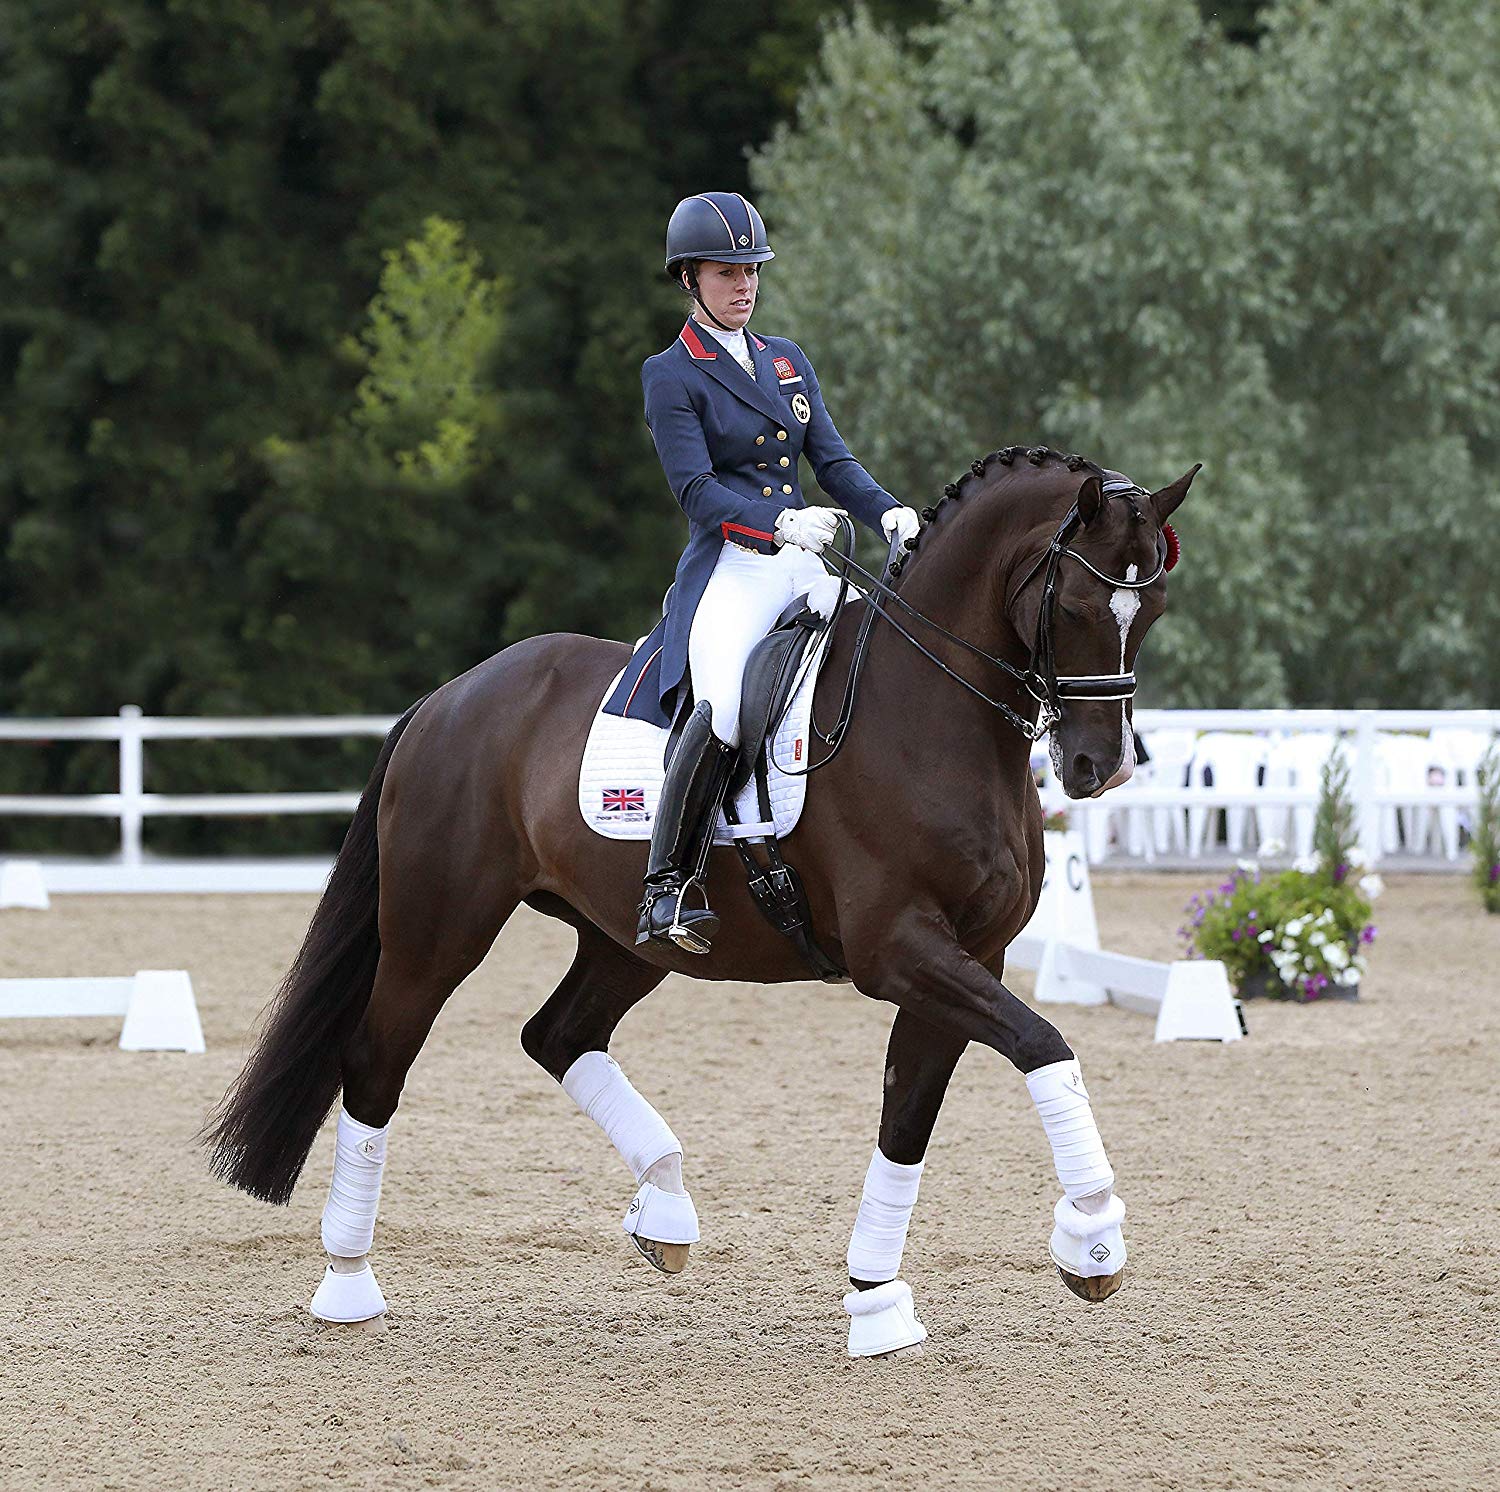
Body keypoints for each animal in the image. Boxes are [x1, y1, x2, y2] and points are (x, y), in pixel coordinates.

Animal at [205, 444, 1197, 1354]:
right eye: (1075, 606)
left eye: (1149, 610)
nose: (1098, 769)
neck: (930, 717)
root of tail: (449, 698)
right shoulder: (900, 951)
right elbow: (1045, 1044)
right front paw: (1093, 1238)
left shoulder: (967, 957)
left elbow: (908, 1115)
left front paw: (877, 1301)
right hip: (436, 931)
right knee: (376, 1063)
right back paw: (347, 1283)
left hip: (626, 940)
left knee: (557, 1034)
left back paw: (665, 1211)